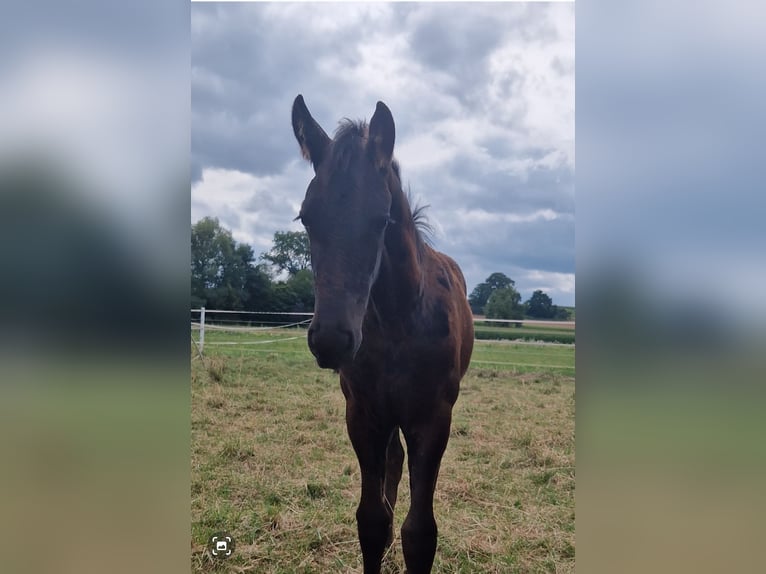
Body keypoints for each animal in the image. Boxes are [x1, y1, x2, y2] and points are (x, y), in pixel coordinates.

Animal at [292, 97, 474, 572]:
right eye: (306, 218)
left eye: (380, 219)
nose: (331, 339)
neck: (399, 322)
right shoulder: (364, 415)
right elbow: (372, 522)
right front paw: (383, 537)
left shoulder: (433, 419)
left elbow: (420, 533)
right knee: (393, 463)